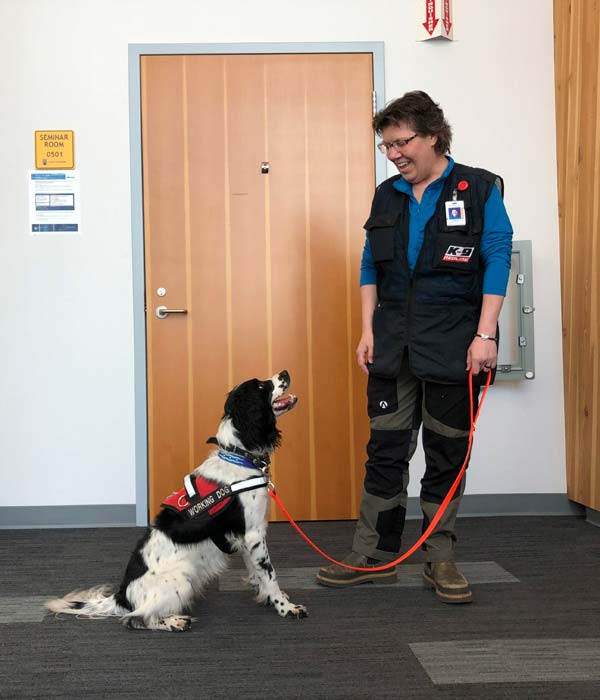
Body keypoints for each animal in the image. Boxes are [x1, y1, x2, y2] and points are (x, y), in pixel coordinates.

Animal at [47, 372, 308, 636]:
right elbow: (270, 575)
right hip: (182, 578)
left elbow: (257, 573)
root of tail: (122, 596)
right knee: (136, 618)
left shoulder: (247, 538)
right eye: (262, 386)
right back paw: (175, 621)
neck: (239, 456)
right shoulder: (254, 534)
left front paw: (267, 597)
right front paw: (285, 607)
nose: (285, 373)